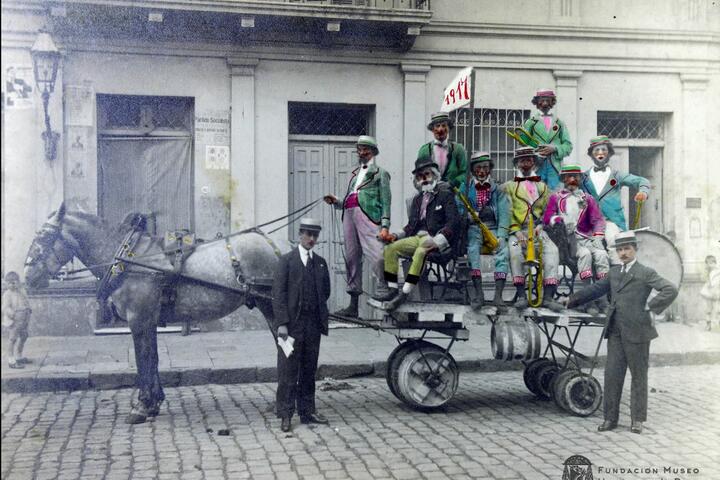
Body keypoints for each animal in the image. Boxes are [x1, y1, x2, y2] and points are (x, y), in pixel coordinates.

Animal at [22, 202, 282, 424]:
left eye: (44, 237)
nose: (27, 277)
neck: (129, 260)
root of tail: (273, 246)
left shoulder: (139, 319)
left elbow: (143, 359)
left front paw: (142, 406)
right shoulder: (149, 320)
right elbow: (153, 358)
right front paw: (154, 403)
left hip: (270, 306)